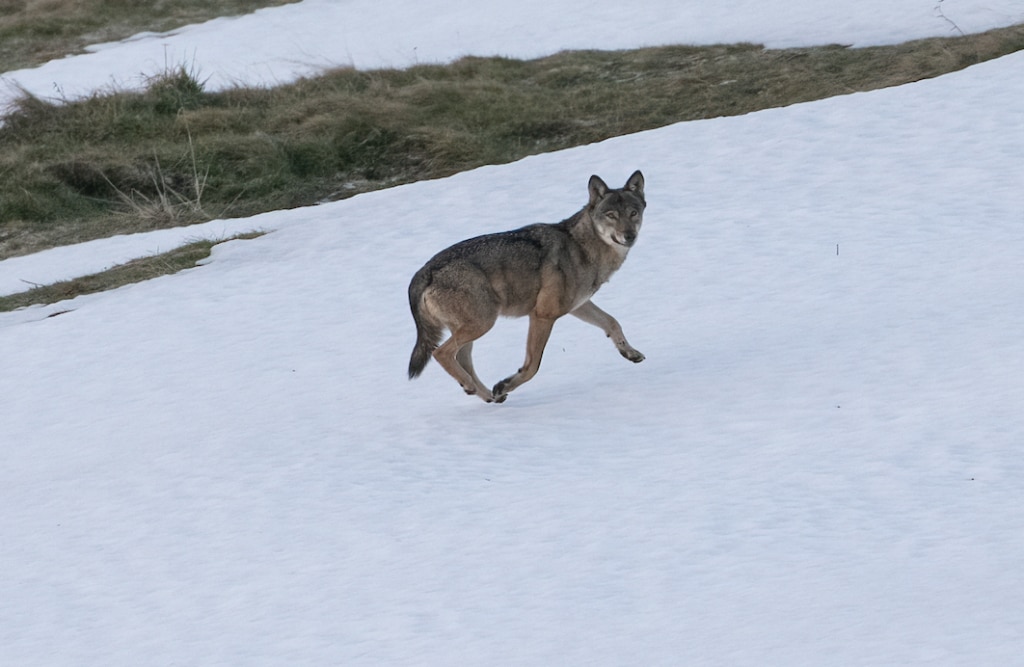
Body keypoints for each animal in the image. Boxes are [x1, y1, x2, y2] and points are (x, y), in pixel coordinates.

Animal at [407, 170, 646, 403]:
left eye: (633, 213)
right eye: (611, 215)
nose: (629, 236)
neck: (582, 248)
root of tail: (423, 272)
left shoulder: (578, 306)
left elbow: (612, 322)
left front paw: (631, 353)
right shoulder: (542, 315)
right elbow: (532, 366)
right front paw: (505, 384)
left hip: (474, 327)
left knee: (463, 360)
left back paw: (486, 395)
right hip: (483, 323)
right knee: (441, 353)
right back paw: (474, 387)